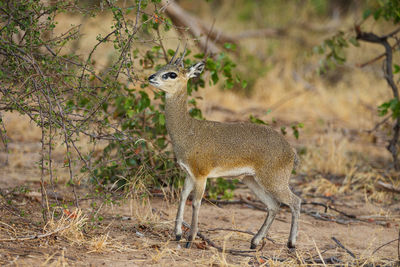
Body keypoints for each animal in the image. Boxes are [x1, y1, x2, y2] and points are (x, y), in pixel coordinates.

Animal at [148, 45, 302, 249]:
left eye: (172, 74)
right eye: (161, 67)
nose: (151, 77)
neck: (188, 130)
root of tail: (291, 151)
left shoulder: (201, 174)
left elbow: (196, 203)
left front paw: (190, 239)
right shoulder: (189, 173)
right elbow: (182, 197)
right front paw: (178, 234)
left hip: (273, 180)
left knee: (295, 201)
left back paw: (291, 243)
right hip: (251, 180)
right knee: (273, 206)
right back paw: (254, 242)